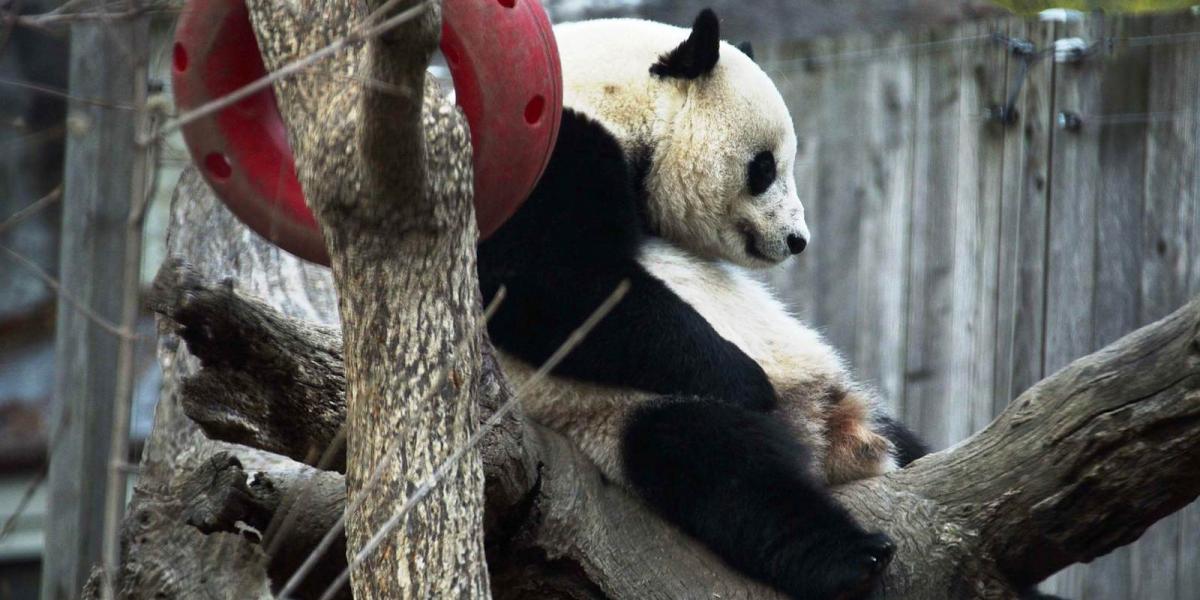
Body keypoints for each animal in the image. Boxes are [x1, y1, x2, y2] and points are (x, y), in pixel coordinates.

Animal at [475, 9, 926, 600]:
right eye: (764, 168)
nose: (797, 240)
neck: (612, 95)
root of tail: (830, 440)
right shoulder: (546, 155)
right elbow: (549, 283)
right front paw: (750, 381)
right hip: (617, 414)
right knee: (727, 469)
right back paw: (852, 556)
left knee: (901, 443)